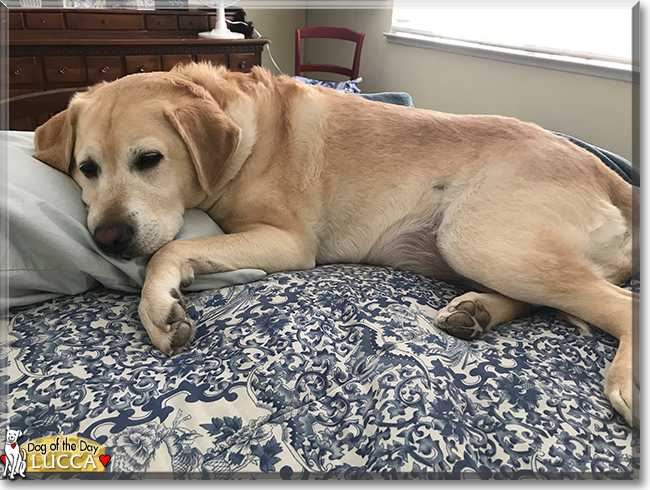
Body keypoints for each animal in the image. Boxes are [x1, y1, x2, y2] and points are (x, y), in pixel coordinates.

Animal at [33, 64, 636, 424]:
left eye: (149, 160)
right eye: (87, 169)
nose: (109, 237)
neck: (243, 140)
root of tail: (609, 173)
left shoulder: (287, 243)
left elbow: (167, 250)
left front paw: (158, 308)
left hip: (475, 236)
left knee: (617, 303)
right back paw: (476, 312)